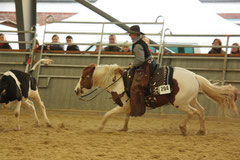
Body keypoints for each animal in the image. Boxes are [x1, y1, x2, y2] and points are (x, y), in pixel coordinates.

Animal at [74, 63, 238, 135]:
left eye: (84, 77)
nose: (76, 91)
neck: (118, 81)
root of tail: (194, 76)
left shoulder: (122, 105)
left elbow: (107, 114)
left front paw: (100, 127)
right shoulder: (129, 106)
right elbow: (126, 117)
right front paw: (124, 128)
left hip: (180, 103)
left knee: (192, 112)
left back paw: (183, 128)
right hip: (191, 100)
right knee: (201, 111)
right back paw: (201, 130)